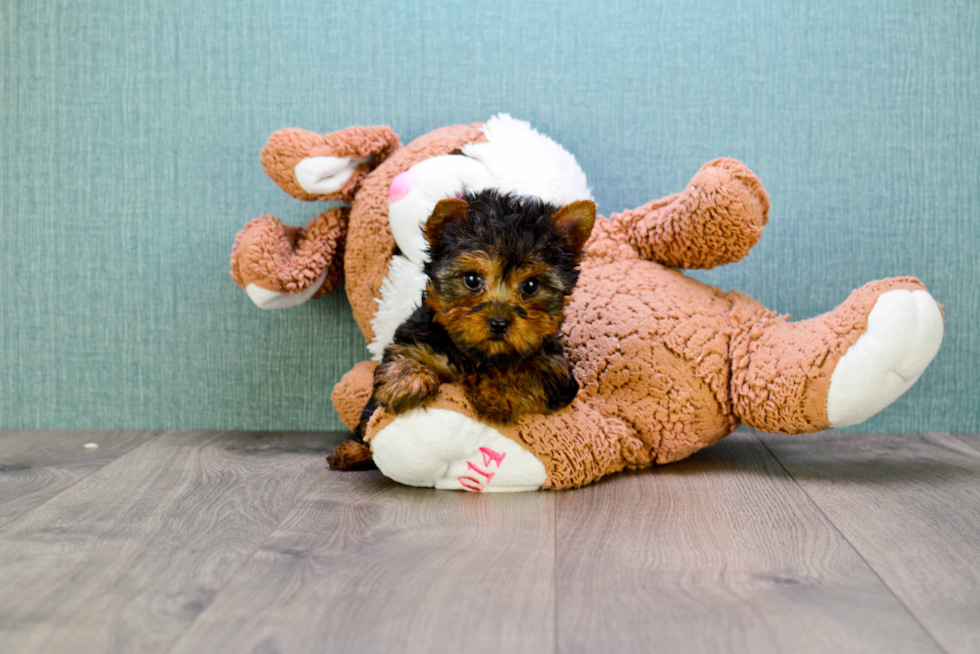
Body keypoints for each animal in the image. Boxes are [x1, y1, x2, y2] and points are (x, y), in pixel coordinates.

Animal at [326, 190, 592, 472]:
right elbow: (403, 356)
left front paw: (497, 392)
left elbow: (531, 370)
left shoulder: (557, 368)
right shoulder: (416, 337)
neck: (477, 355)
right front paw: (406, 381)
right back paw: (355, 450)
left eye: (531, 285)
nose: (499, 322)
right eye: (472, 279)